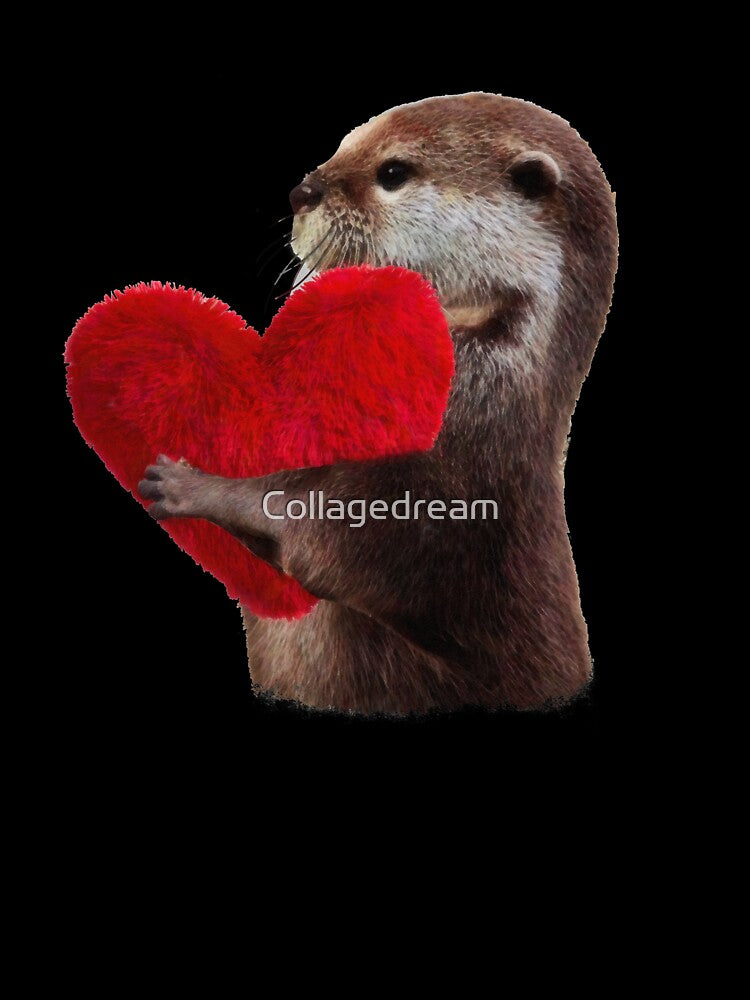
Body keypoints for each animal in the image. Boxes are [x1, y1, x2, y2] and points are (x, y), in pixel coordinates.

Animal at [138, 93, 618, 715]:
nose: (302, 192)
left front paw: (186, 483)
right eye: (347, 142)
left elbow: (325, 538)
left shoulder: (450, 463)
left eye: (392, 172)